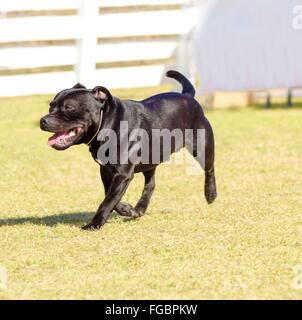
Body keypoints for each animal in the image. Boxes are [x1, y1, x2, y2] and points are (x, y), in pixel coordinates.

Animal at [40, 70, 216, 230]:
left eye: (69, 107)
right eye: (50, 107)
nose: (43, 120)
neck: (108, 123)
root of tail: (188, 96)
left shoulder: (122, 174)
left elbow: (107, 201)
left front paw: (94, 224)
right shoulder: (106, 171)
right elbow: (110, 197)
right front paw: (126, 209)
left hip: (202, 146)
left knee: (209, 169)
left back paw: (211, 194)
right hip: (151, 159)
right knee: (151, 184)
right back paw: (139, 209)